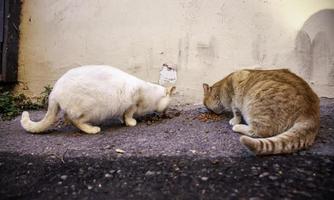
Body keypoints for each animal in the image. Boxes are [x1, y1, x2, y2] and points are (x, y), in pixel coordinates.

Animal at [19, 65, 176, 134]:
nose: (166, 111)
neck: (150, 93)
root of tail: (54, 91)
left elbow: (123, 115)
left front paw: (123, 121)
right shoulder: (132, 103)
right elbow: (129, 114)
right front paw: (130, 122)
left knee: (67, 117)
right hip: (91, 109)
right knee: (75, 120)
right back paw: (91, 129)